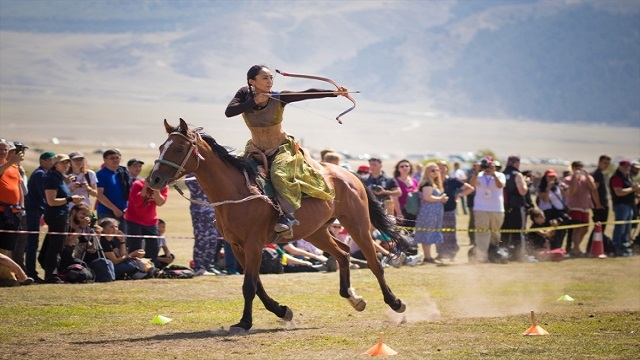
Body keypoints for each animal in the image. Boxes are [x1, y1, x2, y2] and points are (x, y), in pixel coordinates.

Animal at [146, 119, 410, 334]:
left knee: (375, 262)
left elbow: (249, 286)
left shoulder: (253, 245)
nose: (153, 179)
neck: (236, 192)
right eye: (161, 147)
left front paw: (244, 323)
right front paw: (283, 311)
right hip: (315, 232)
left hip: (357, 224)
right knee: (343, 253)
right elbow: (257, 285)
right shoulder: (238, 247)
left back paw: (395, 303)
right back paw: (353, 298)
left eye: (179, 148)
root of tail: (349, 175)